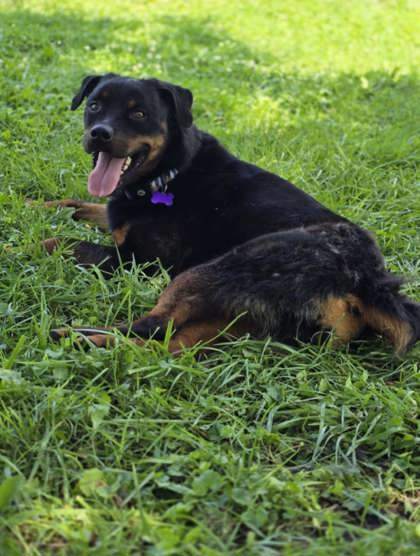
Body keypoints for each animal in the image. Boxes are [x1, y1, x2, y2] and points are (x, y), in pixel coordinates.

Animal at [43, 74, 420, 354]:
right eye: (94, 106)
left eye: (139, 114)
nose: (99, 134)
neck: (168, 174)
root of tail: (369, 283)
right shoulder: (115, 219)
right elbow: (74, 204)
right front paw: (35, 207)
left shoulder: (141, 259)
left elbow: (61, 242)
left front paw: (29, 243)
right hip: (238, 317)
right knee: (169, 345)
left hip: (214, 270)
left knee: (154, 326)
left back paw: (73, 336)